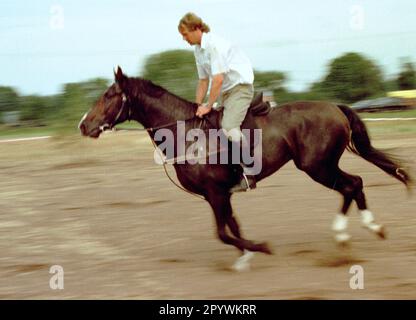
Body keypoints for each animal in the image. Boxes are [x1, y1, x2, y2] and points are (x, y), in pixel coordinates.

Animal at [79, 67, 412, 270]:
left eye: (108, 96)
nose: (84, 125)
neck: (187, 134)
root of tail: (335, 107)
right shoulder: (220, 195)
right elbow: (233, 226)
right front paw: (246, 257)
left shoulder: (215, 193)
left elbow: (223, 233)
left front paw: (261, 247)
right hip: (323, 165)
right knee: (353, 185)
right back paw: (355, 233)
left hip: (317, 166)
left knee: (353, 184)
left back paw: (360, 230)